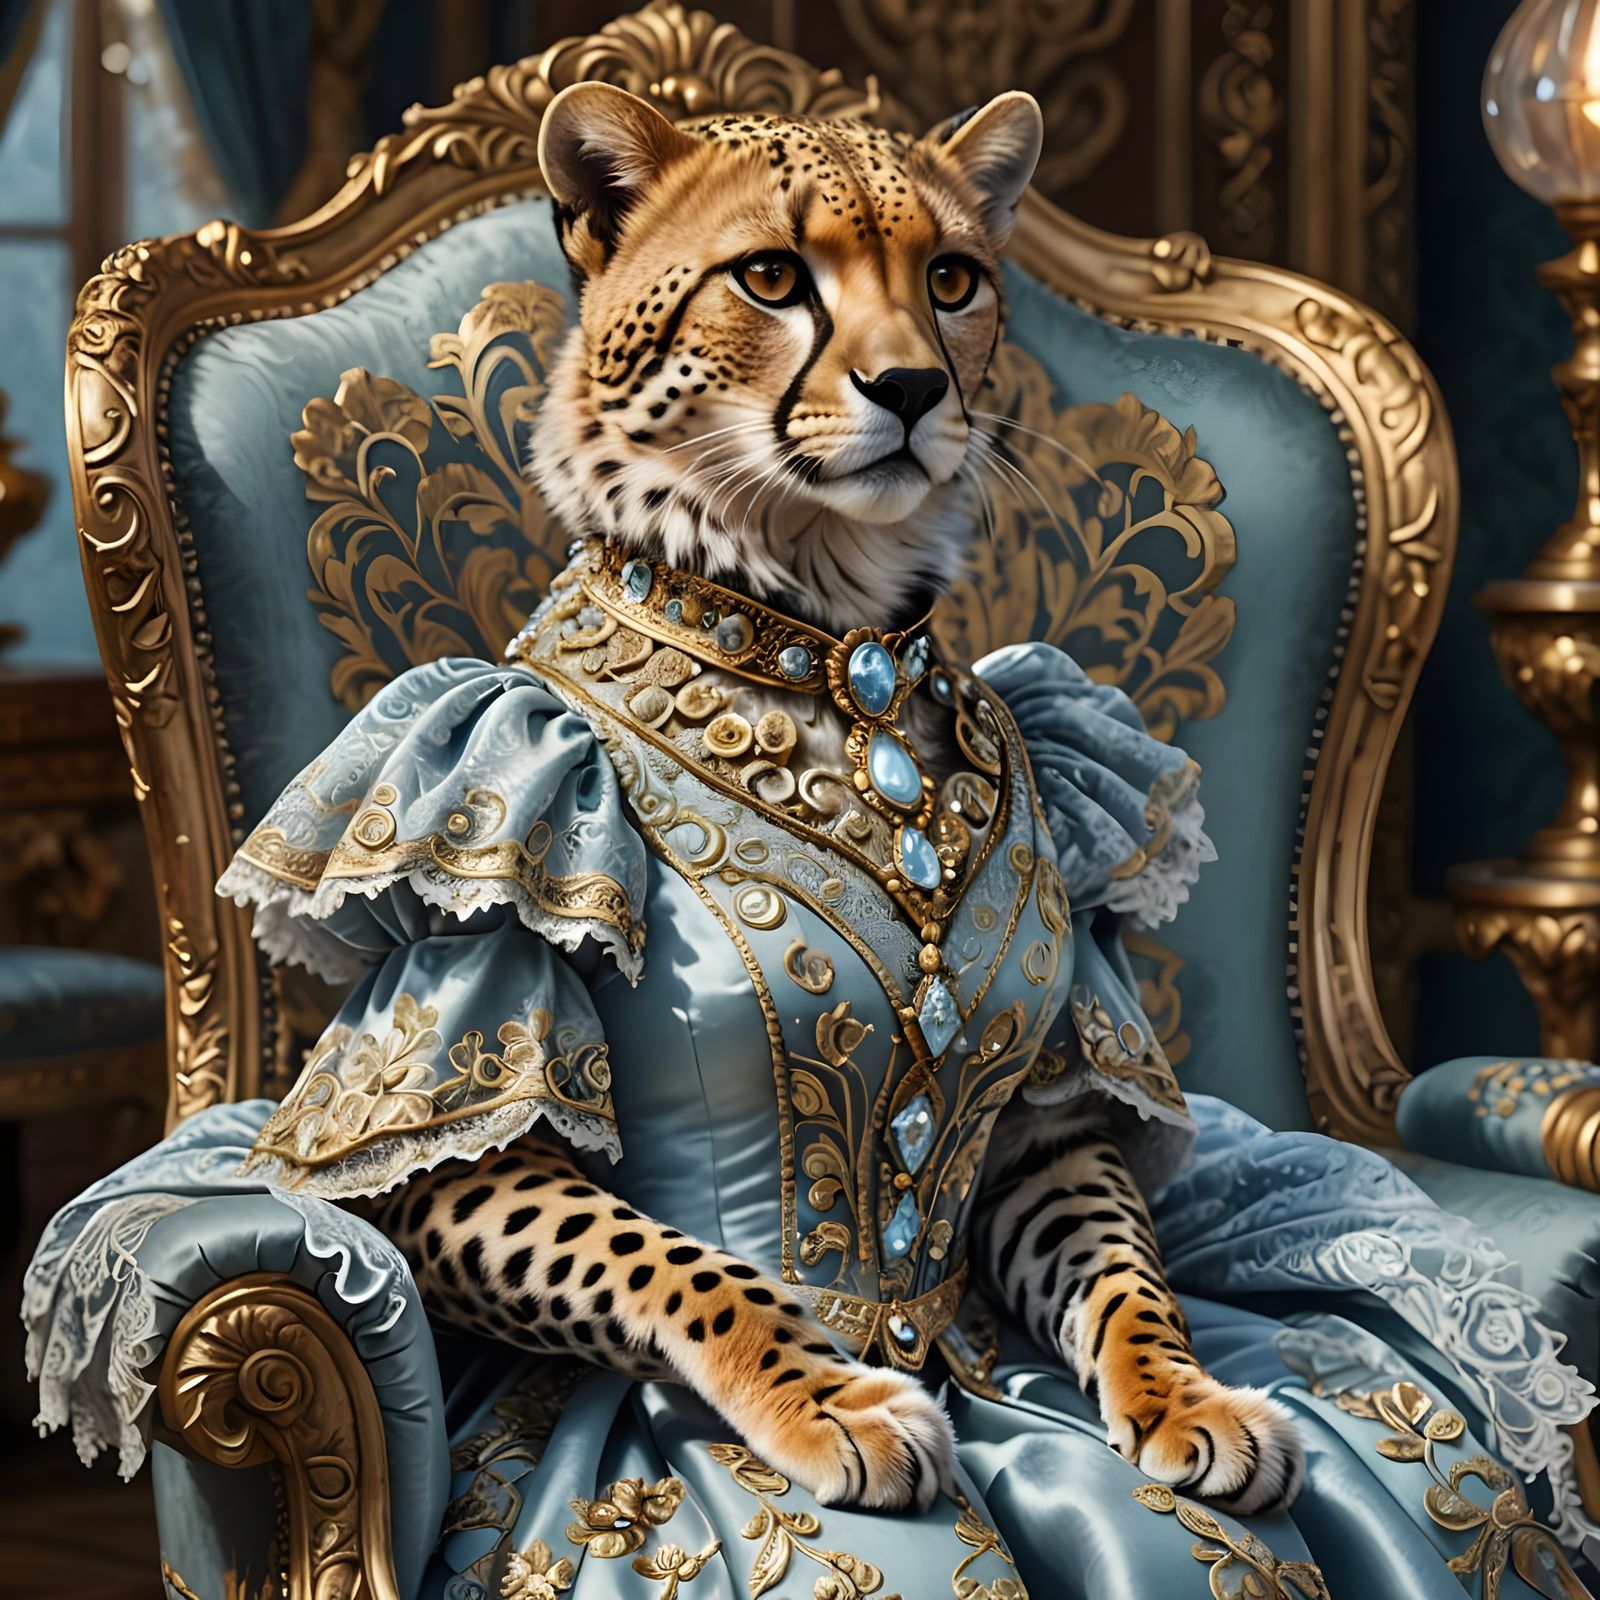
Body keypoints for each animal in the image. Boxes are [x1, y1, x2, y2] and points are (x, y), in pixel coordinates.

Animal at [370, 79, 1304, 1518]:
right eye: (770, 277)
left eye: (952, 278)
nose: (912, 386)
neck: (833, 636)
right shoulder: (448, 1158)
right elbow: (672, 1257)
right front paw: (830, 1399)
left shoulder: (1032, 1127)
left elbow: (1125, 1274)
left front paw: (1184, 1395)